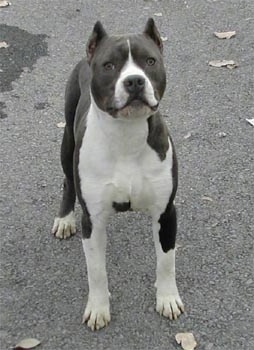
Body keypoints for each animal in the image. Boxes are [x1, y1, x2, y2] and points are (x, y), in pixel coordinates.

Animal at [52, 18, 183, 330]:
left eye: (150, 61)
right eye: (109, 65)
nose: (134, 81)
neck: (127, 135)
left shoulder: (166, 212)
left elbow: (166, 261)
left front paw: (167, 298)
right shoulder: (93, 220)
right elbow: (96, 271)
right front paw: (98, 308)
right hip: (67, 141)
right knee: (67, 181)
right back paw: (64, 218)